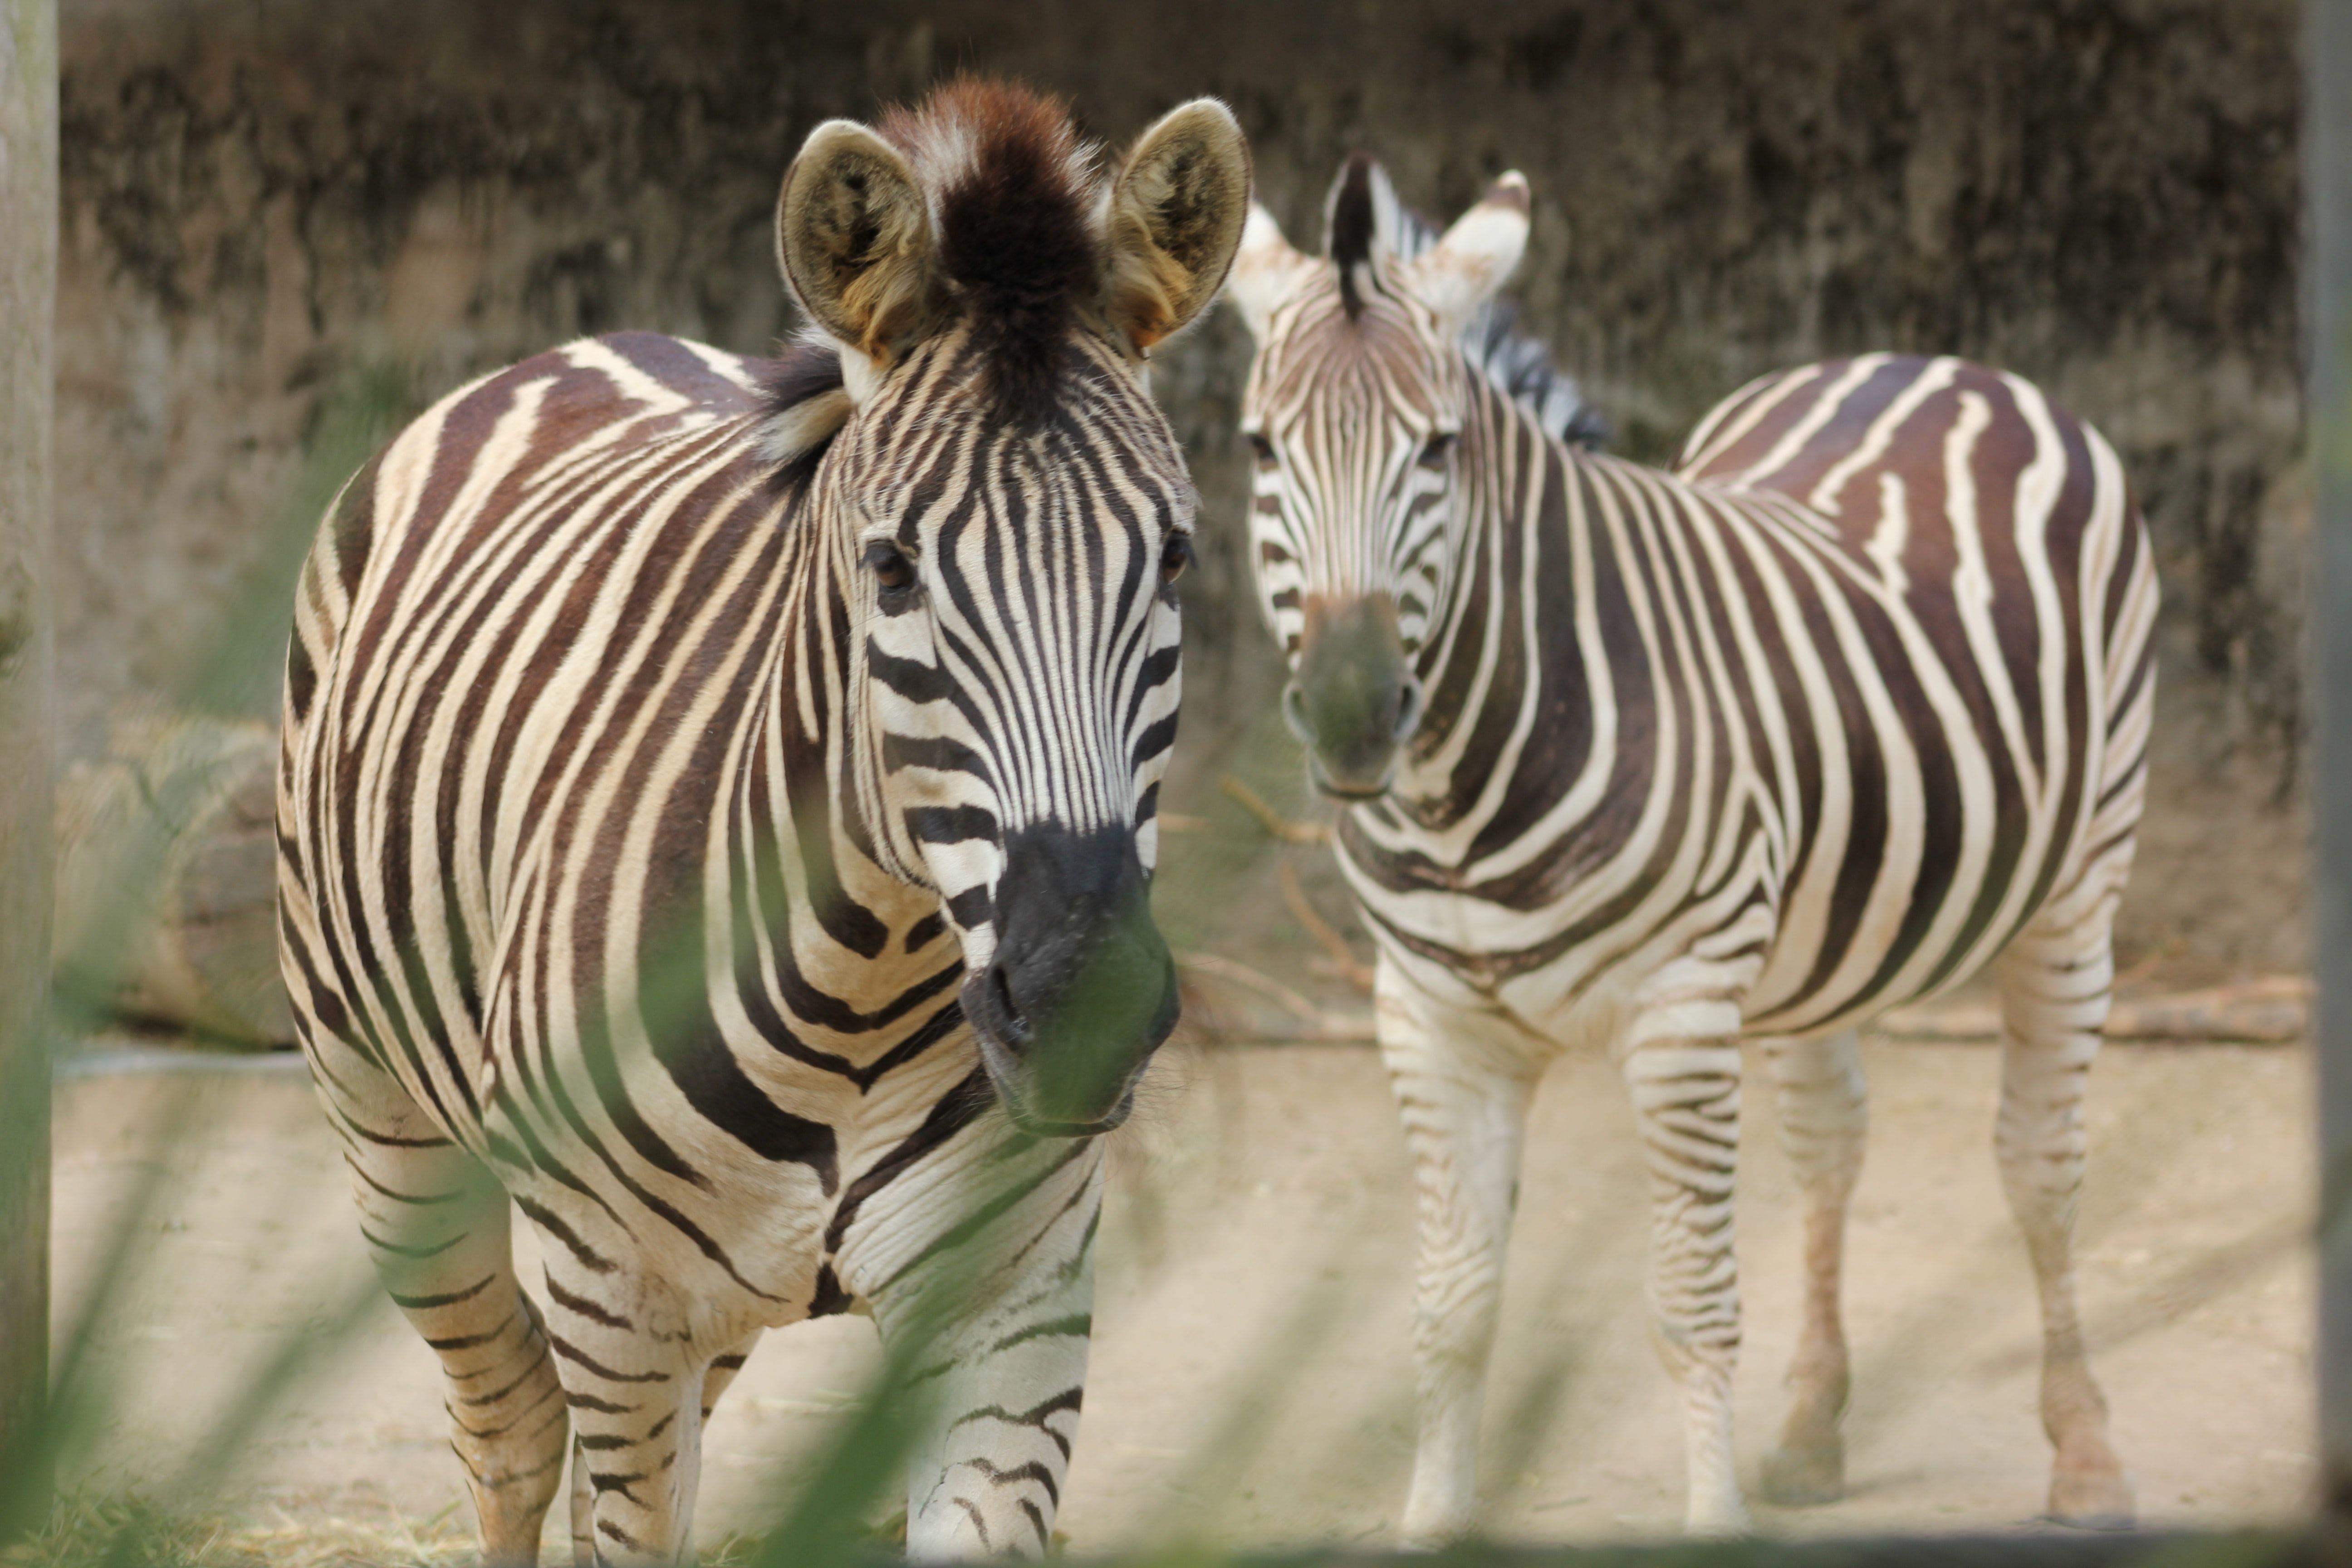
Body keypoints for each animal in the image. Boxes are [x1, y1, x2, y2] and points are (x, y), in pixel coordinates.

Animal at [279, 86, 1251, 1568]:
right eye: (894, 569)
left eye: (1175, 559)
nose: (1083, 1000)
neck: (868, 971)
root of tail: (588, 344)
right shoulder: (619, 1299)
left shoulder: (1013, 1305)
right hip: (395, 1147)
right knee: (510, 1426)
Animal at [1223, 156, 2154, 1533]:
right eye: (1258, 448)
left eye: (1438, 448)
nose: (1350, 712)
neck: (1462, 796)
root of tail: (1938, 361)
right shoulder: (1431, 1024)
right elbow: (1451, 1310)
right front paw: (1433, 1523)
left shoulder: (1676, 1011)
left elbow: (1689, 1308)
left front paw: (1711, 1522)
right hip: (1825, 931)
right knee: (1829, 1146)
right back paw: (1814, 1433)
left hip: (2076, 889)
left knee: (2040, 1164)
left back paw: (2086, 1459)